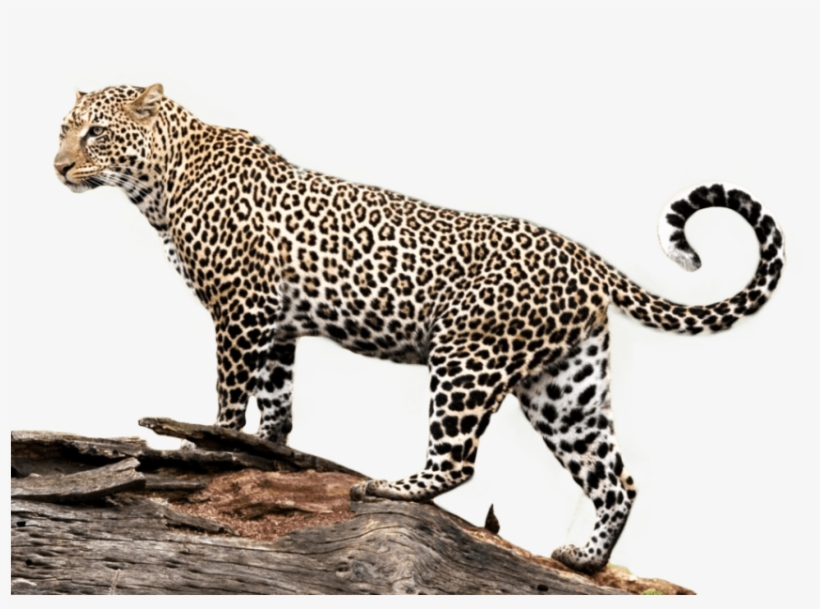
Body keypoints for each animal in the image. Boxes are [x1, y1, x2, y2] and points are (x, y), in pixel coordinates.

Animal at [53, 84, 785, 573]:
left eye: (95, 133)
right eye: (63, 129)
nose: (58, 167)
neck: (160, 183)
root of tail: (585, 257)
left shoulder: (240, 309)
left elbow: (230, 396)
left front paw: (207, 448)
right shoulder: (277, 324)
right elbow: (278, 402)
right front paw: (267, 454)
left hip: (466, 357)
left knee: (458, 460)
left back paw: (389, 485)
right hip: (565, 389)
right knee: (616, 480)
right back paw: (583, 559)